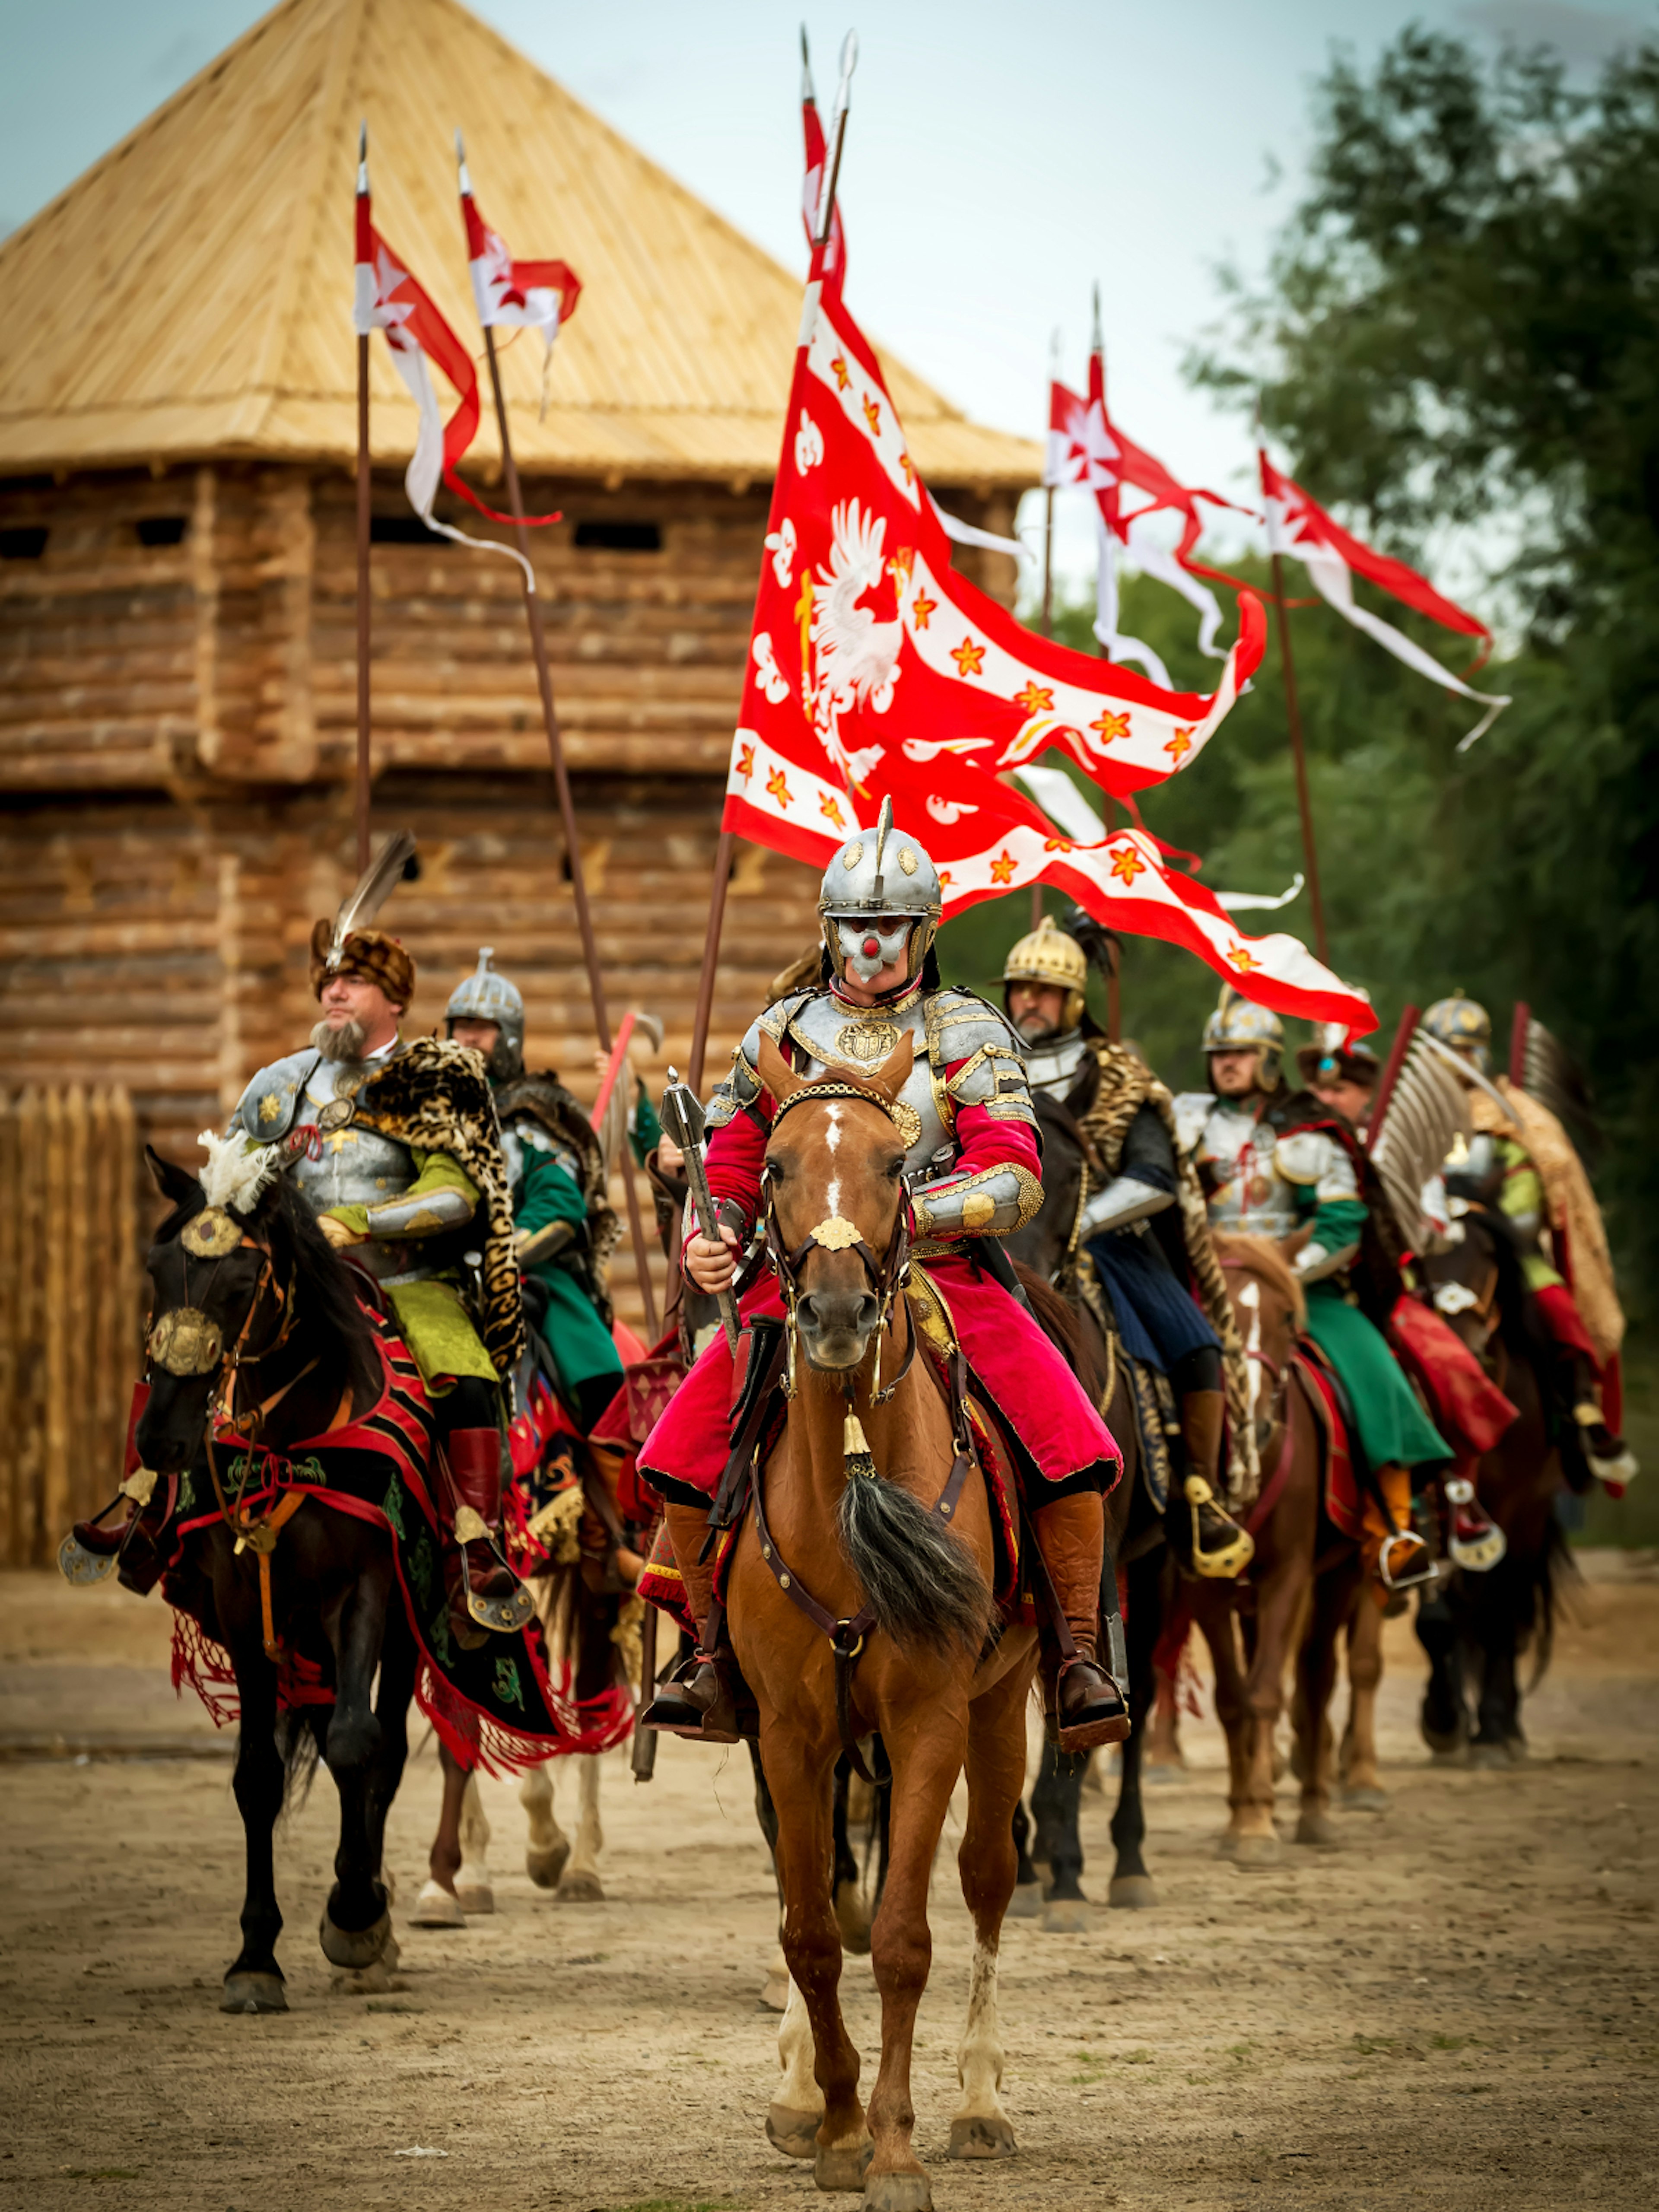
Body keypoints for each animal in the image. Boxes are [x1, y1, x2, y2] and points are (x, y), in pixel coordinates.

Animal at [138, 1150, 422, 2017]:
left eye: (240, 1282)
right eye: (156, 1270)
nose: (160, 1438)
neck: (292, 1440)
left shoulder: (366, 1589)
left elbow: (359, 1744)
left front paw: (356, 1912)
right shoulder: (241, 1607)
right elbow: (258, 1776)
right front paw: (256, 1957)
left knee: (383, 1745)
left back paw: (370, 1920)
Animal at [734, 1026, 1044, 2203]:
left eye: (892, 1165)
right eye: (777, 1167)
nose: (831, 1315)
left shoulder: (930, 1721)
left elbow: (908, 1936)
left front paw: (896, 2146)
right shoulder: (789, 1733)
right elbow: (813, 1932)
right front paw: (830, 2125)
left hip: (1006, 1702)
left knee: (989, 1878)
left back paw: (981, 2102)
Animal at [1203, 1247, 1371, 1867]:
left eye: (1289, 1321)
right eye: (1211, 1308)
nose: (1254, 1423)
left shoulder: (1289, 1575)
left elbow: (1267, 1691)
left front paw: (1256, 1825)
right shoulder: (1203, 1589)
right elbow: (1233, 1698)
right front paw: (1244, 1813)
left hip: (1340, 1575)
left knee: (1318, 1678)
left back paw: (1316, 1808)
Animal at [1424, 1203, 1575, 1770]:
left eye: (1488, 1256)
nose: (1463, 1348)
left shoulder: (1517, 1507)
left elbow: (1498, 1611)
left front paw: (1492, 1726)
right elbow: (1437, 1616)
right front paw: (1442, 1718)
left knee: (1506, 1606)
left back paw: (1504, 1722)